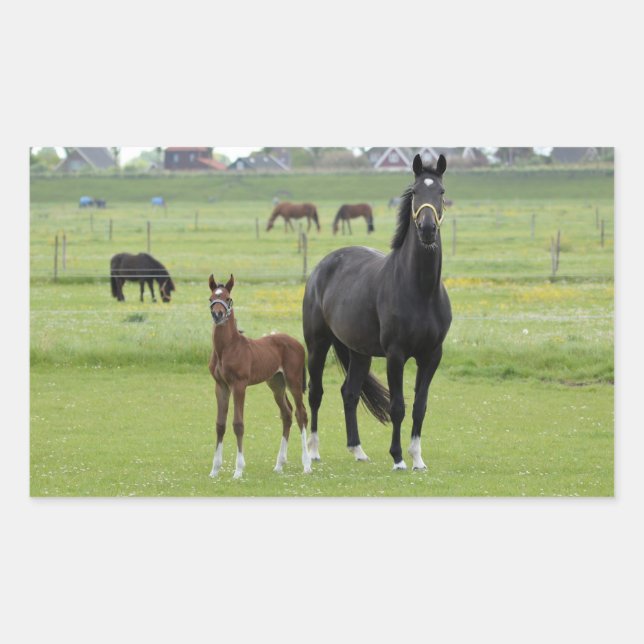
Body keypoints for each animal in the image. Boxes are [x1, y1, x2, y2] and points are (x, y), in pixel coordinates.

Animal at [207, 274, 312, 479]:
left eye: (228, 298)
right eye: (211, 299)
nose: (218, 315)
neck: (227, 347)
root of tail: (298, 343)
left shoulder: (239, 385)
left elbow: (238, 424)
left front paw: (238, 470)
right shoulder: (221, 386)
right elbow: (220, 424)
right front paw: (214, 470)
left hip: (293, 381)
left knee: (301, 414)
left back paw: (306, 464)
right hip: (276, 384)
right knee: (287, 414)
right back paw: (279, 465)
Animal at [302, 154, 452, 469]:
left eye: (441, 192)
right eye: (415, 191)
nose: (427, 229)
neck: (421, 291)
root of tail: (322, 267)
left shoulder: (431, 356)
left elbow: (419, 406)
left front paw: (417, 458)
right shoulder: (396, 355)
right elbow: (398, 407)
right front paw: (398, 458)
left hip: (359, 353)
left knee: (349, 393)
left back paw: (357, 450)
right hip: (317, 344)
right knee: (315, 393)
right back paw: (313, 451)